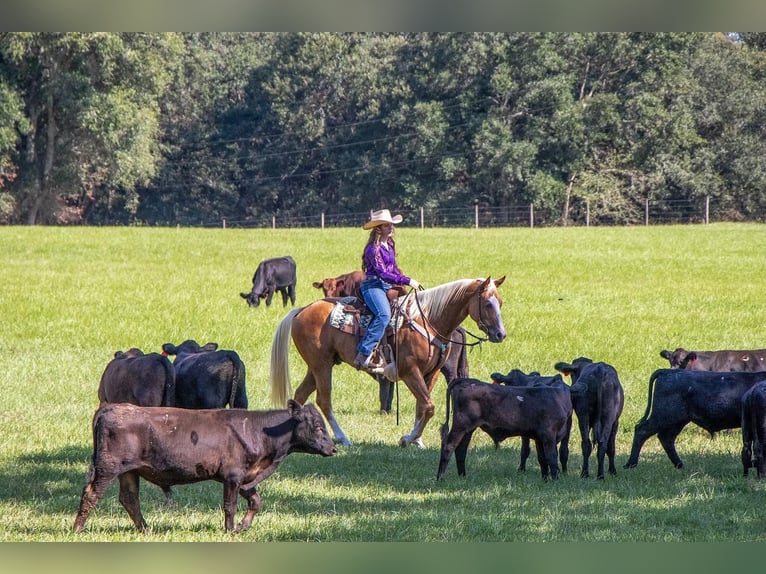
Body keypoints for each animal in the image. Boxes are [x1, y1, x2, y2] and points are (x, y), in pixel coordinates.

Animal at [74, 402, 336, 532]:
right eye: (317, 426)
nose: (333, 448)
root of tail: (112, 407)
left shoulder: (245, 477)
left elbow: (255, 501)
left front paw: (243, 526)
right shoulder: (232, 475)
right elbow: (230, 506)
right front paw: (229, 530)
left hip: (129, 471)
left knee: (129, 498)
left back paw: (146, 529)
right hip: (108, 467)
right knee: (91, 494)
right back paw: (78, 529)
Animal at [272, 276, 510, 448]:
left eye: (500, 302)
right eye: (487, 304)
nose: (500, 334)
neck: (430, 321)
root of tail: (302, 310)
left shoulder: (430, 373)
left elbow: (422, 406)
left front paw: (417, 441)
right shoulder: (409, 371)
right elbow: (429, 406)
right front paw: (408, 439)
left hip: (319, 365)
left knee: (301, 395)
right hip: (321, 365)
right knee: (324, 400)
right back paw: (343, 438)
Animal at [436, 378, 572, 482]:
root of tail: (467, 380)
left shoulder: (539, 438)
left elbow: (542, 459)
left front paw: (545, 480)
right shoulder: (548, 434)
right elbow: (551, 457)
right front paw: (554, 480)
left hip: (468, 429)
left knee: (461, 449)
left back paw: (463, 476)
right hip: (461, 425)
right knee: (449, 446)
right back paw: (440, 478)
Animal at [628, 372, 766, 470]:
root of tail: (666, 372)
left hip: (677, 421)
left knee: (666, 438)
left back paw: (680, 465)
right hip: (663, 415)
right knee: (642, 430)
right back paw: (631, 464)